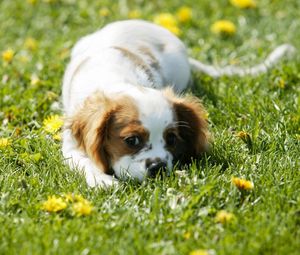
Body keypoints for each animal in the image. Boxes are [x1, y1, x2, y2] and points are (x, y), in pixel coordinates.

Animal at [62, 19, 294, 187]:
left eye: (171, 139)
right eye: (131, 140)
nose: (158, 167)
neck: (118, 79)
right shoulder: (70, 145)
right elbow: (83, 161)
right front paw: (102, 180)